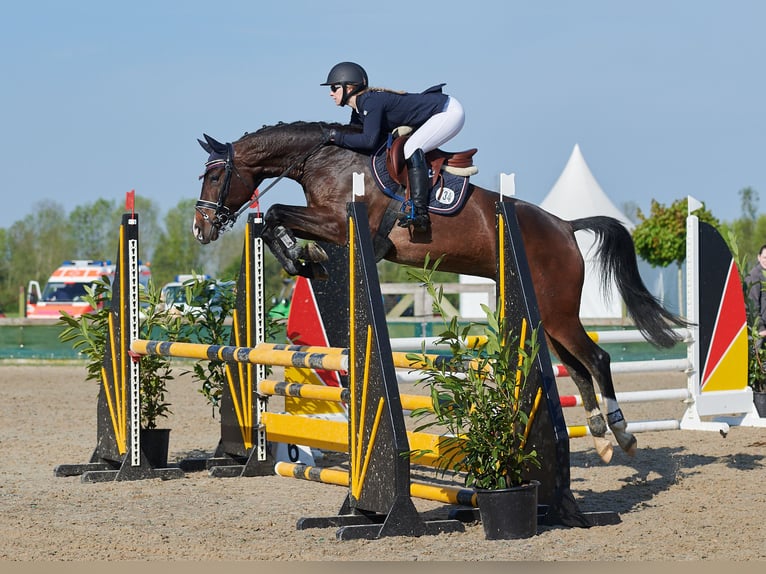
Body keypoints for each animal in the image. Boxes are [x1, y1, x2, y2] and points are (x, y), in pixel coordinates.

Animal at [194, 120, 688, 464]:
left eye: (214, 177)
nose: (201, 229)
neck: (325, 160)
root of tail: (566, 227)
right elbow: (276, 217)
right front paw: (301, 259)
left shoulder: (340, 223)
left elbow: (278, 209)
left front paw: (300, 257)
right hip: (548, 319)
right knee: (579, 368)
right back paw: (601, 441)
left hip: (558, 312)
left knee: (597, 359)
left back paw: (623, 435)